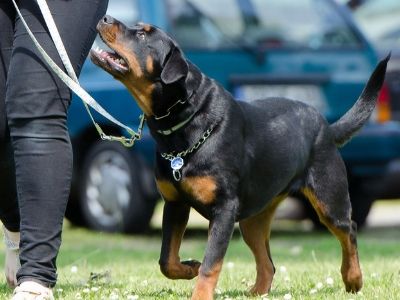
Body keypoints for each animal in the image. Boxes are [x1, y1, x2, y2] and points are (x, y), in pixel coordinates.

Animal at [90, 15, 388, 300]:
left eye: (142, 35)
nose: (105, 18)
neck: (184, 121)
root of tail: (327, 126)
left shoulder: (224, 209)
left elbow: (211, 263)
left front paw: (200, 292)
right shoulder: (175, 203)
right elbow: (167, 260)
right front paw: (190, 267)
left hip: (328, 197)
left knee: (348, 229)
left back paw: (353, 278)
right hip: (253, 219)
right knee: (268, 262)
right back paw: (257, 292)